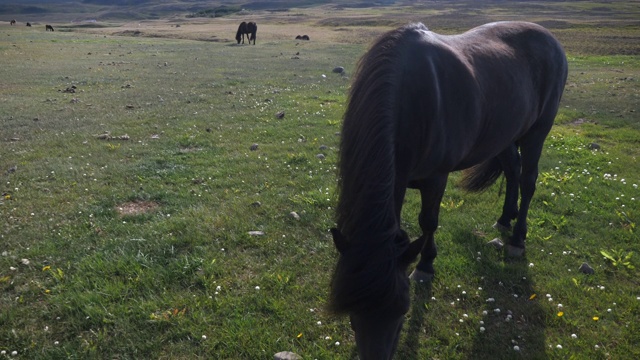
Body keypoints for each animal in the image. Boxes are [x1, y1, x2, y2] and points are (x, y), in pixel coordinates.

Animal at [330, 22, 564, 360]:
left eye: (402, 310)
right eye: (352, 314)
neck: (409, 98)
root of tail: (550, 38)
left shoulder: (436, 179)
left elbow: (428, 222)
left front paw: (426, 265)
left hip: (537, 132)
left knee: (528, 181)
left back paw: (518, 237)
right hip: (505, 134)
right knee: (512, 170)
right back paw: (504, 219)